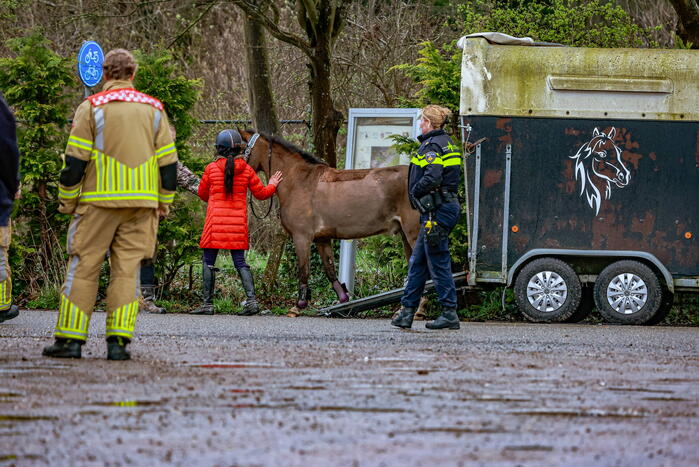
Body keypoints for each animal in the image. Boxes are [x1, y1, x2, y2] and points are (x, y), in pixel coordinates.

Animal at [239, 130, 420, 309]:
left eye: (240, 148)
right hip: (405, 235)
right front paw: (343, 299)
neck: (298, 180)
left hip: (413, 233)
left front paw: (300, 304)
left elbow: (303, 271)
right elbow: (330, 270)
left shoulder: (301, 237)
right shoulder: (322, 239)